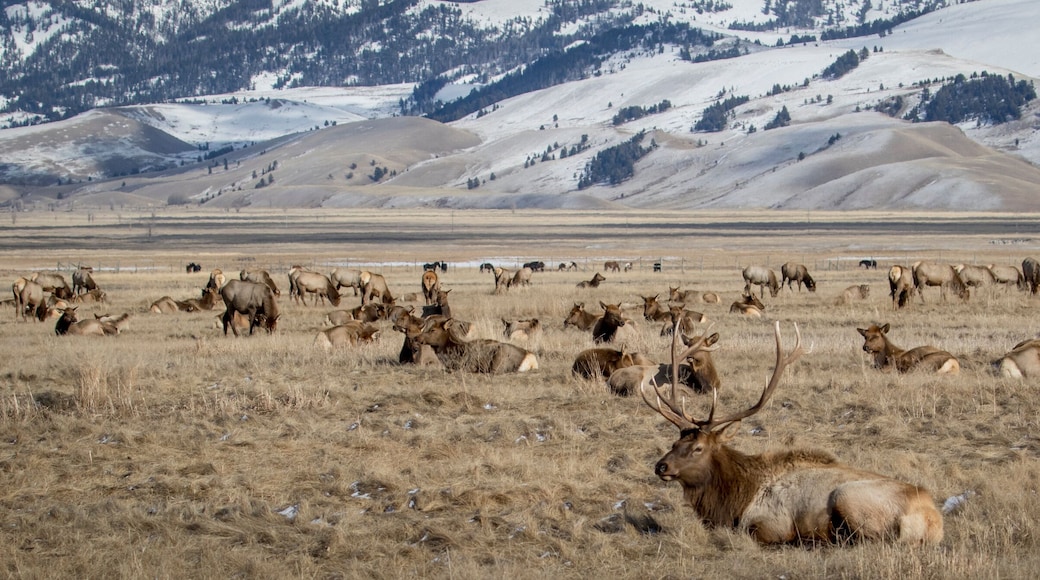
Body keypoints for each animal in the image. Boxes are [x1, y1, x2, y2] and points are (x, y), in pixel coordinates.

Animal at [640, 321, 944, 545]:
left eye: (698, 448)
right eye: (674, 442)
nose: (660, 466)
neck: (735, 498)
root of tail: (933, 521)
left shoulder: (769, 523)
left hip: (848, 497)